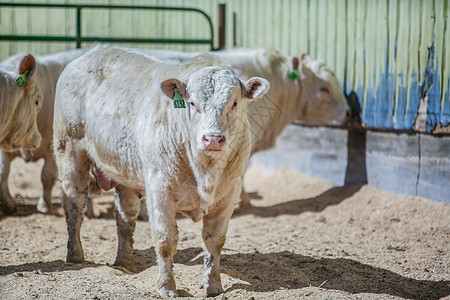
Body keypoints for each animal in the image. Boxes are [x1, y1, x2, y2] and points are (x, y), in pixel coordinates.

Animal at [0, 49, 85, 214]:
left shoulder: (54, 146)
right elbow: (3, 171)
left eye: (38, 102)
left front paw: (45, 205)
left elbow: (47, 175)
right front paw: (7, 203)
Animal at [54, 45, 268, 296]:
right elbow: (166, 240)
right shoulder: (159, 189)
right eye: (192, 103)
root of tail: (90, 53)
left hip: (125, 173)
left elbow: (214, 240)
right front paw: (166, 286)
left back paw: (124, 262)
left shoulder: (229, 192)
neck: (205, 170)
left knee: (125, 218)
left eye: (234, 103)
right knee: (74, 207)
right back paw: (75, 255)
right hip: (70, 152)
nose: (213, 138)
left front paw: (213, 284)